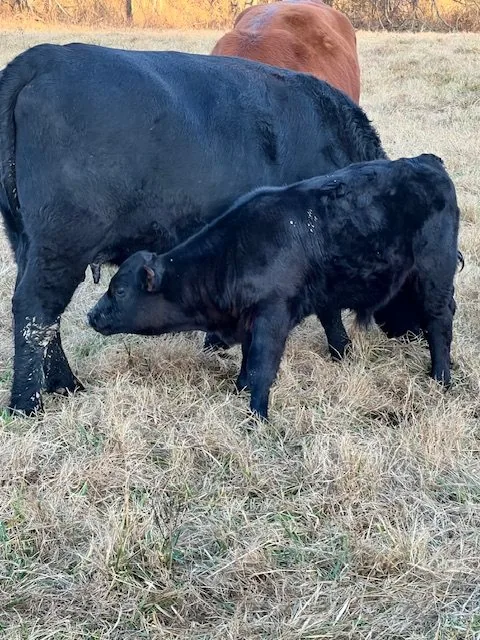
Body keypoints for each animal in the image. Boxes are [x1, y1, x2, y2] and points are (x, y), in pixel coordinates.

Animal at [88, 154, 461, 420]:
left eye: (119, 290)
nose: (92, 315)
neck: (235, 252)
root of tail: (425, 162)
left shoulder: (273, 314)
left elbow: (262, 364)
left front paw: (257, 416)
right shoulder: (249, 319)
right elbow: (247, 359)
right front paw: (239, 388)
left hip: (435, 274)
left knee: (439, 321)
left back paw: (440, 377)